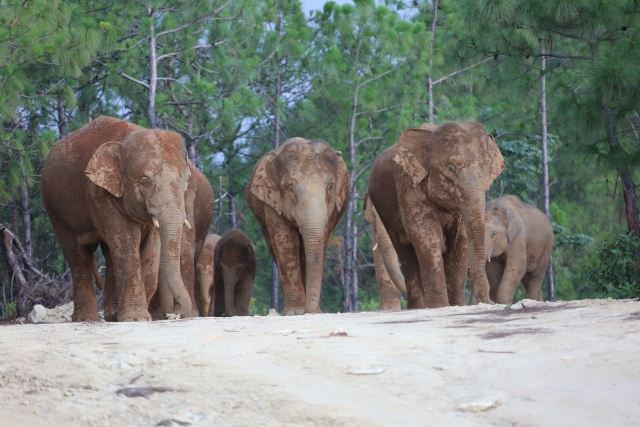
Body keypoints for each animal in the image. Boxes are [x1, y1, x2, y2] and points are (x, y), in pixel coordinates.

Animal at [42, 116, 194, 320]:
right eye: (144, 180)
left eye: (186, 179)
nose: (174, 315)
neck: (127, 141)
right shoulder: (99, 191)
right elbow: (127, 239)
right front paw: (136, 318)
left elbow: (150, 247)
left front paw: (138, 316)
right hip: (54, 207)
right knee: (77, 255)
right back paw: (87, 319)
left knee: (109, 251)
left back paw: (111, 315)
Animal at [246, 139, 350, 316]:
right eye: (290, 188)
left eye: (330, 186)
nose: (311, 311)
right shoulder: (272, 202)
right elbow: (286, 242)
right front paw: (295, 312)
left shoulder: (333, 209)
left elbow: (320, 242)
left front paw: (312, 311)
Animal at [368, 122, 508, 310]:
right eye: (450, 168)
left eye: (487, 166)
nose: (486, 302)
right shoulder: (408, 185)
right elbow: (426, 236)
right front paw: (439, 306)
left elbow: (461, 241)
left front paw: (456, 306)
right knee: (406, 254)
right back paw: (419, 308)